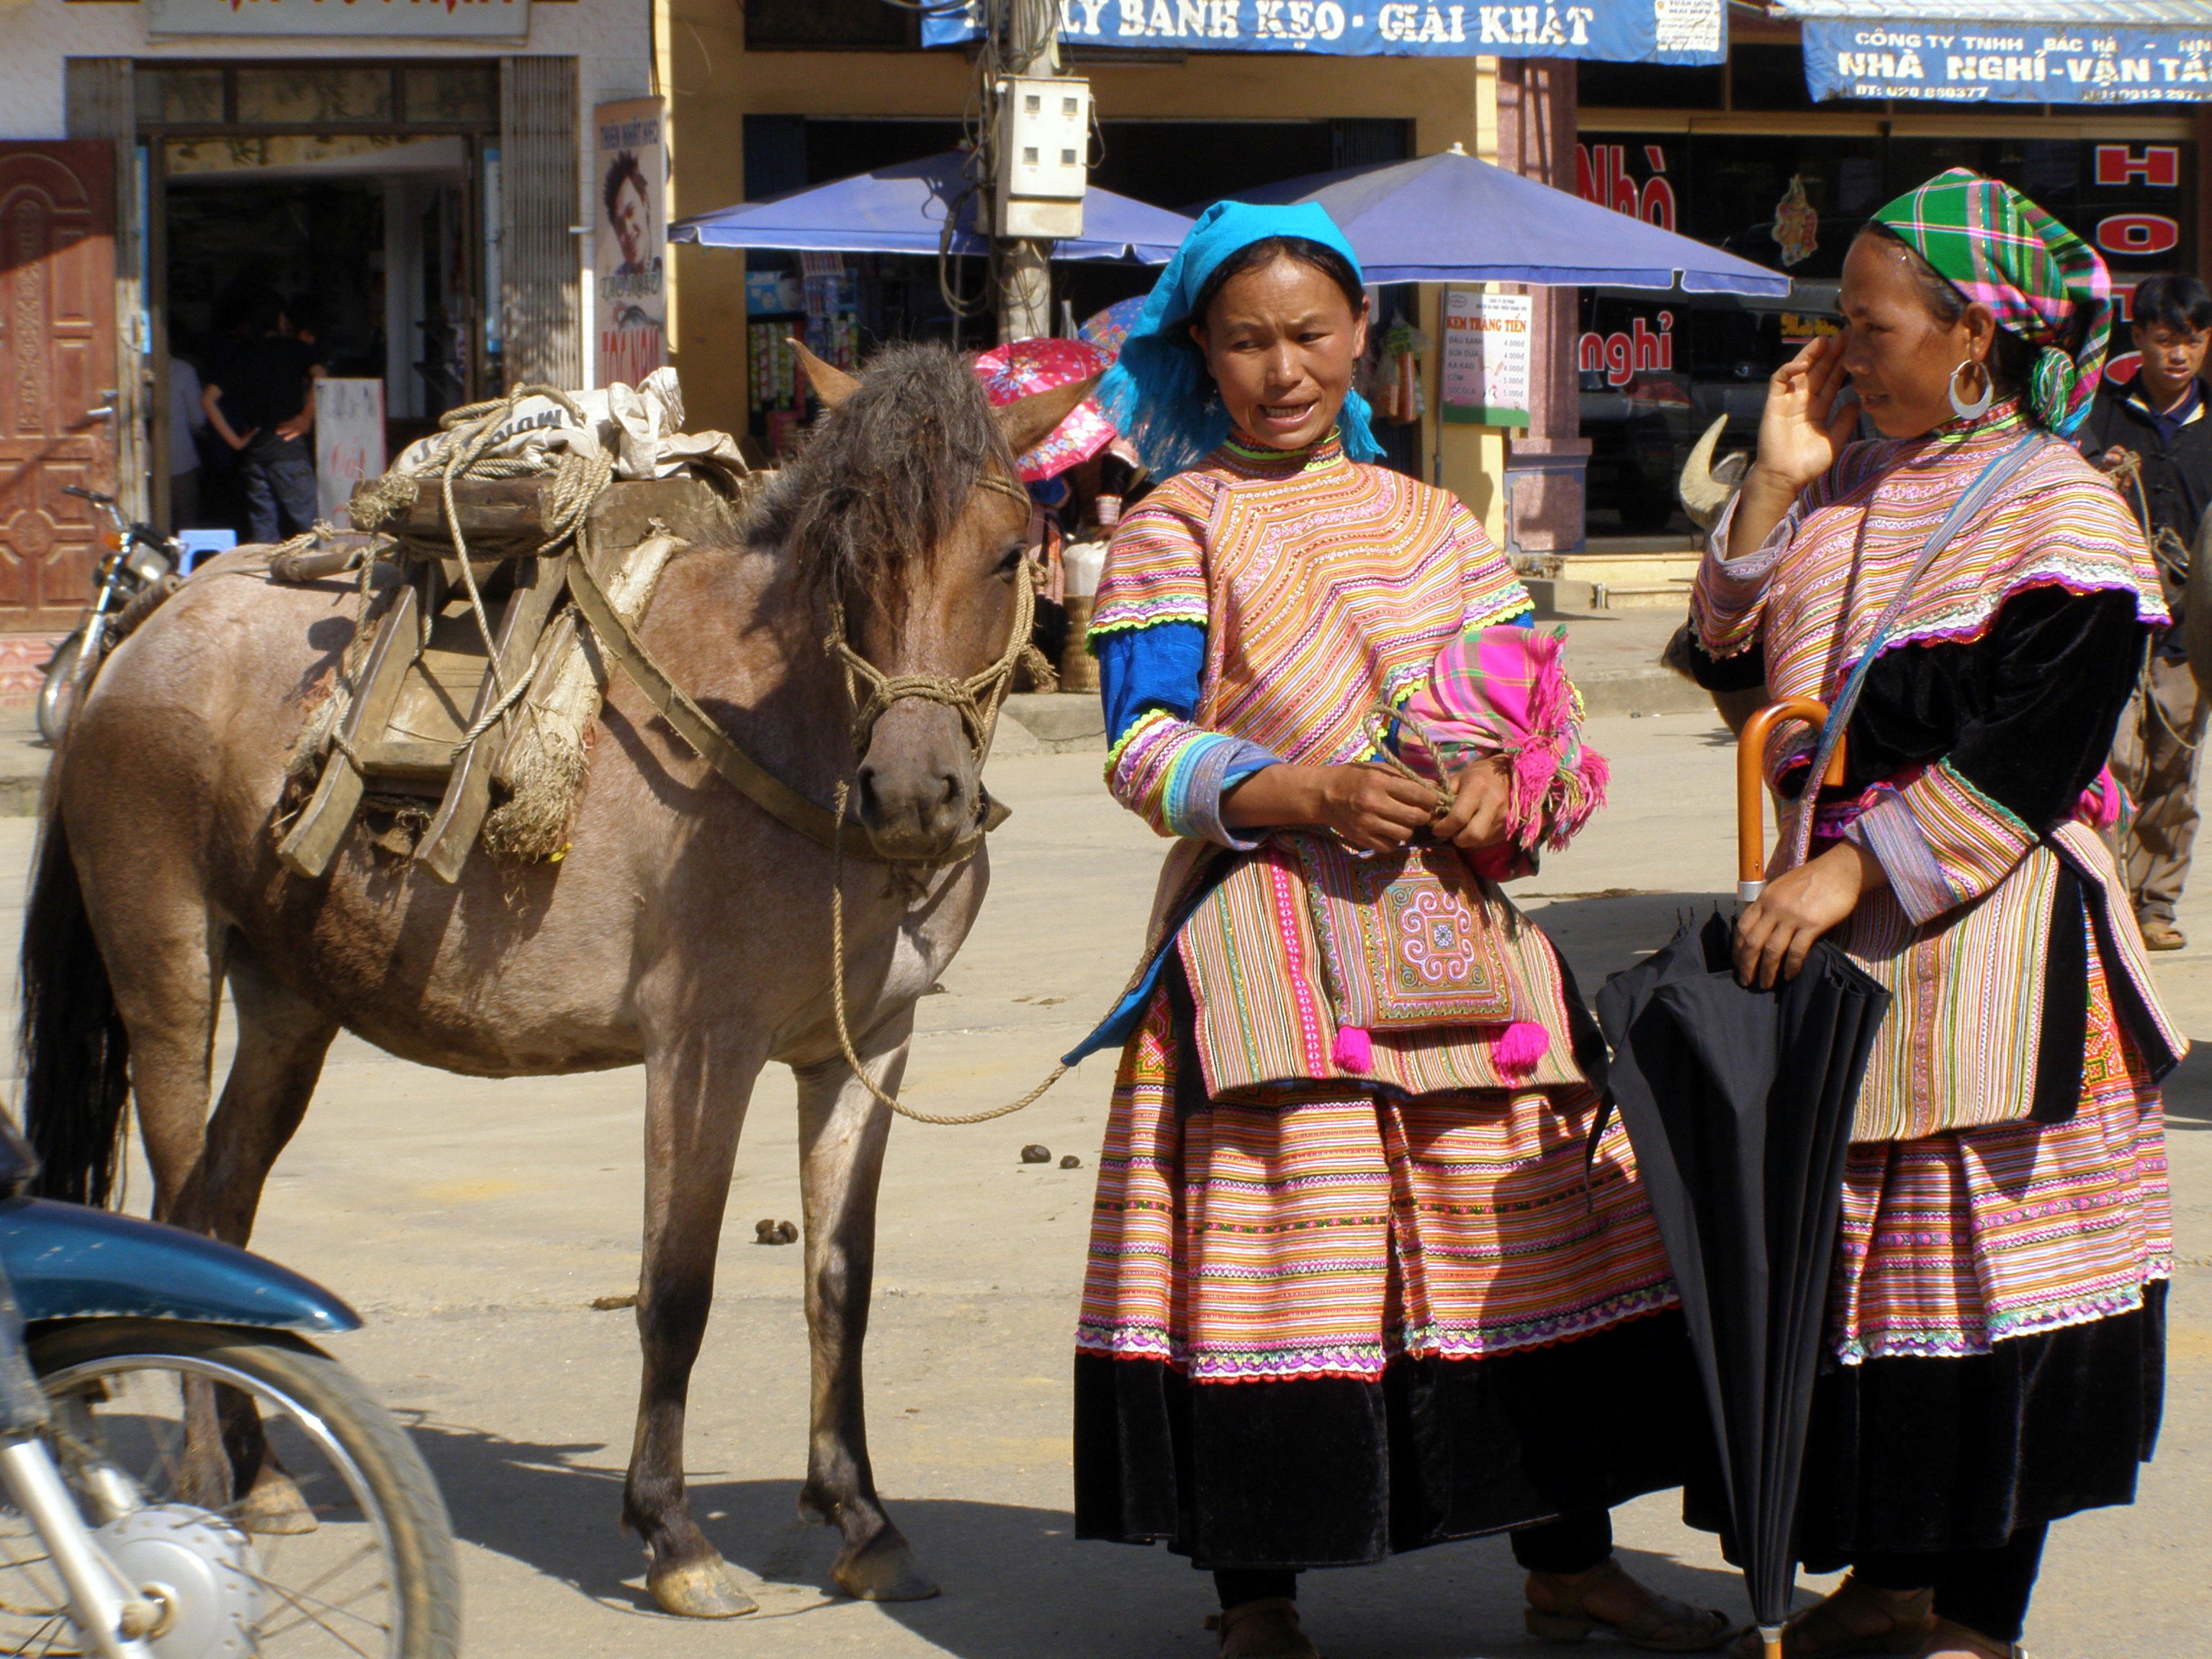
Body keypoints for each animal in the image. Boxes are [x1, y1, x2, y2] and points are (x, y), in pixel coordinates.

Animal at [17, 341, 1088, 1627]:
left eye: (1004, 550)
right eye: (850, 556)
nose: (916, 794)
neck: (787, 735)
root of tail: (146, 629)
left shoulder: (863, 1047)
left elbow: (843, 1281)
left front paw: (864, 1522)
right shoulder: (702, 1047)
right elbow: (675, 1288)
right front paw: (672, 1535)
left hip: (290, 1006)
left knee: (223, 1208)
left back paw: (265, 1475)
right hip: (168, 964)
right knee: (180, 1210)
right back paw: (217, 1483)